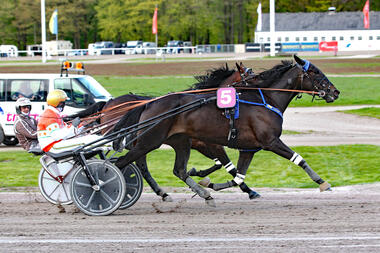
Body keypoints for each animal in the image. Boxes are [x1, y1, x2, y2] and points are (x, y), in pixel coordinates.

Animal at [112, 55, 338, 206]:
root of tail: (148, 104)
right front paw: (322, 182)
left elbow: (237, 176)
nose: (335, 92)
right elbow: (299, 159)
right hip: (150, 141)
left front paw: (211, 184)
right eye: (315, 72)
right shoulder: (270, 141)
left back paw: (200, 193)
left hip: (178, 142)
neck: (266, 100)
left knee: (177, 170)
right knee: (122, 163)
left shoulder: (248, 149)